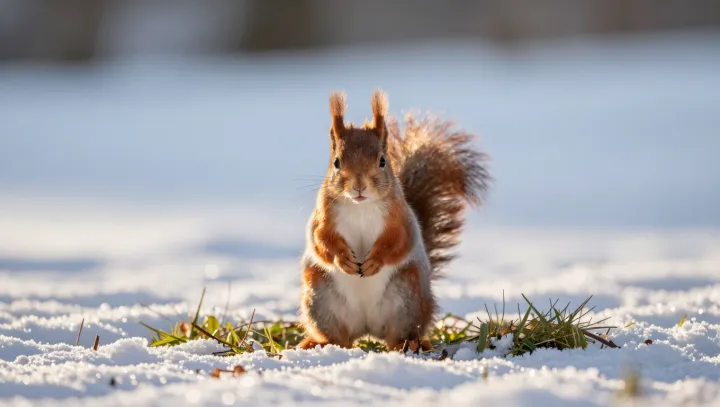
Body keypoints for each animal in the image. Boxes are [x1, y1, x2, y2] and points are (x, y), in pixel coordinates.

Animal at [298, 89, 490, 351]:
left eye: (382, 160)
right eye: (336, 162)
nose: (359, 186)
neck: (361, 206)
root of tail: (367, 327)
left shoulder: (401, 219)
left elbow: (397, 242)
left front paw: (374, 261)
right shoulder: (323, 217)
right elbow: (321, 240)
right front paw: (343, 259)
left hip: (407, 297)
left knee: (397, 334)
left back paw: (408, 344)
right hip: (320, 296)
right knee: (340, 338)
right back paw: (319, 343)